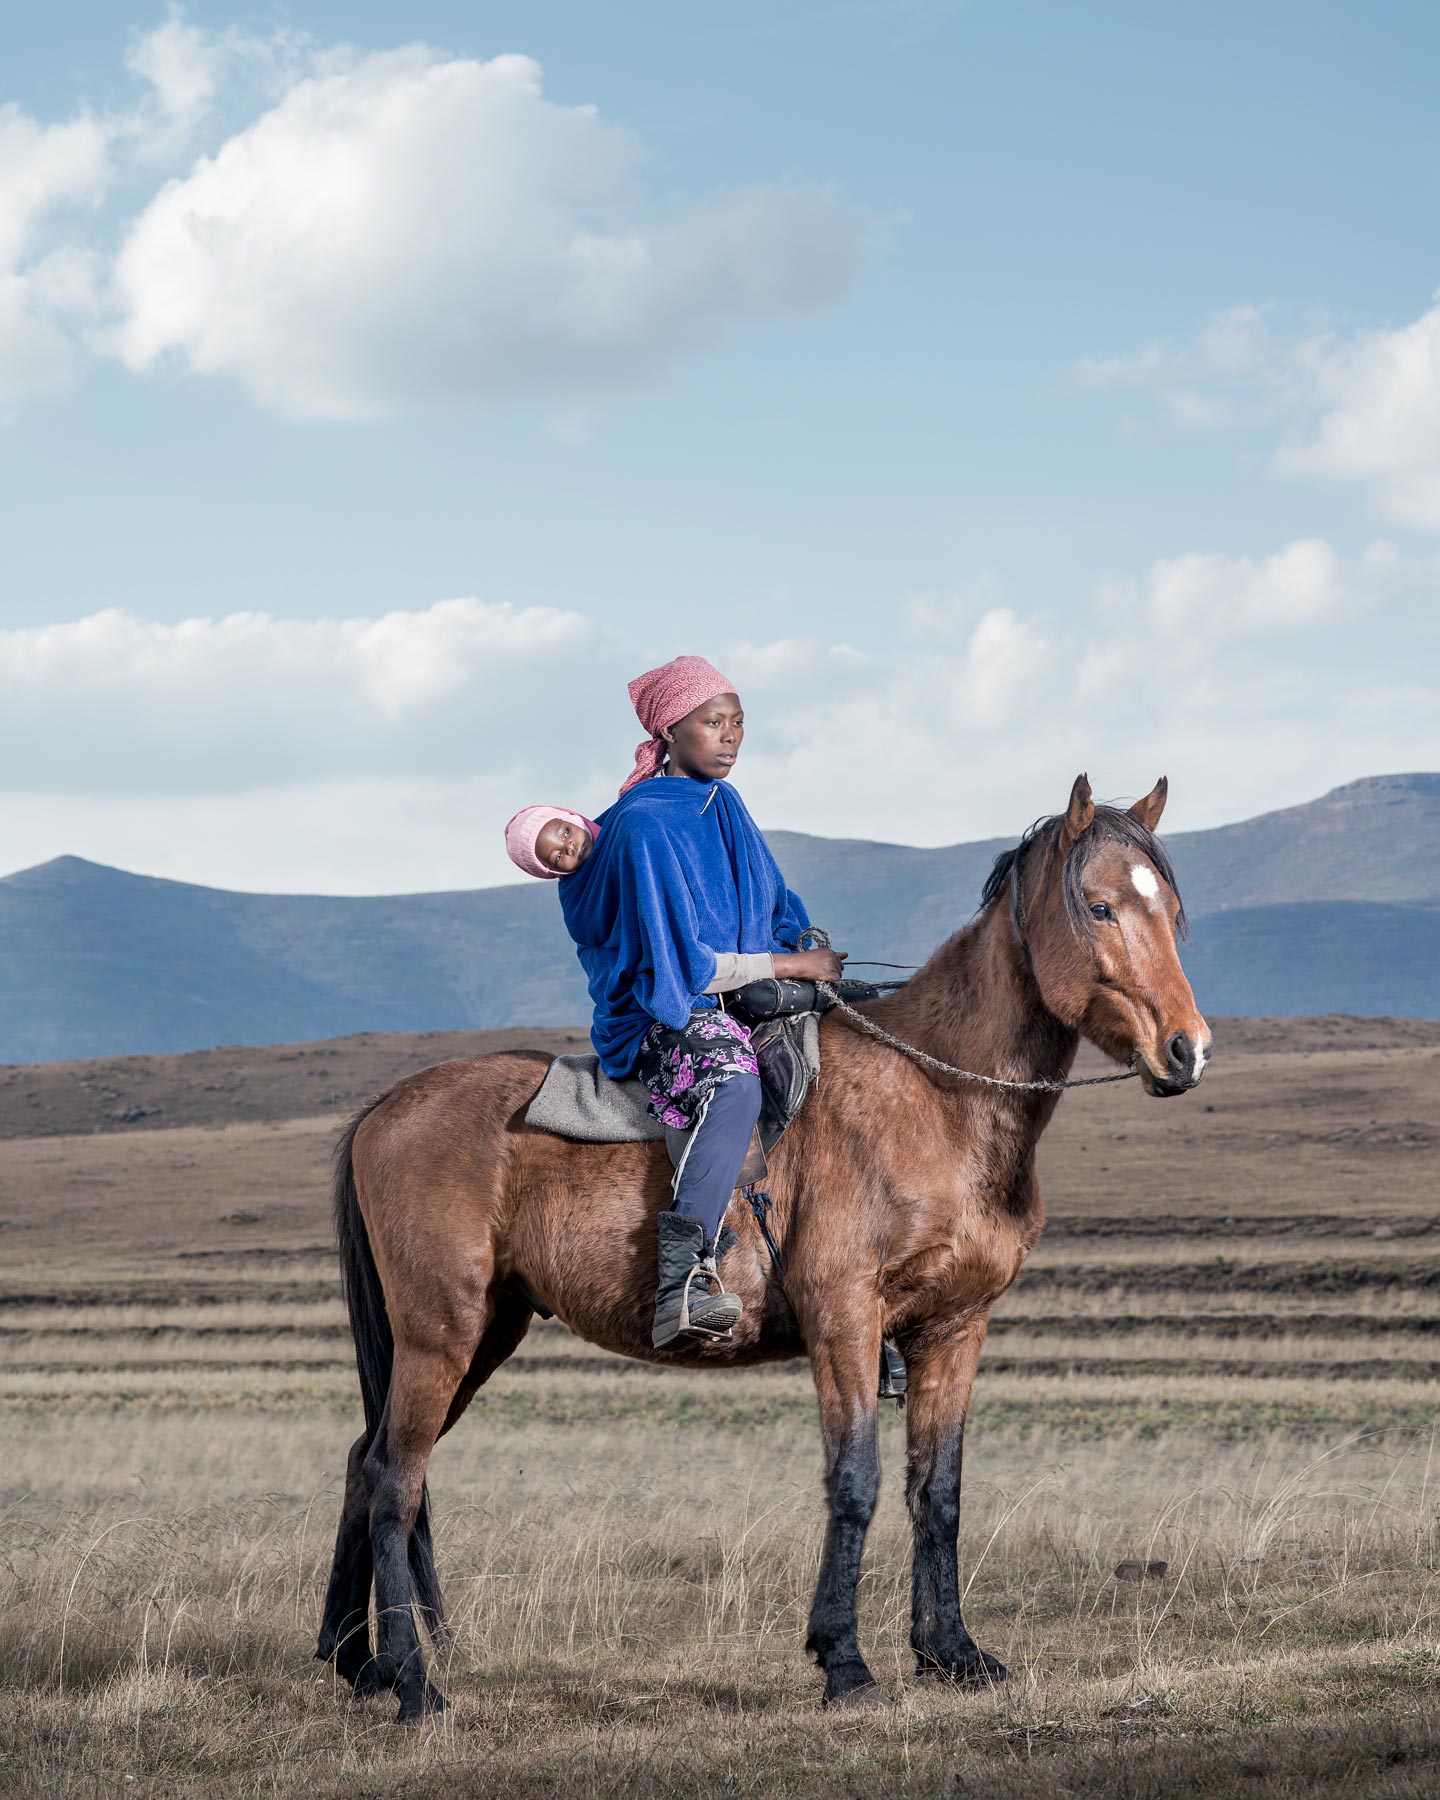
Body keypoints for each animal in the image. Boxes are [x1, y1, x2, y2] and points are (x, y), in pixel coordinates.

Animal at [318, 770, 1216, 1713]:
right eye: (1100, 906)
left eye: (1169, 910)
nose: (1187, 1050)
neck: (937, 1098)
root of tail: (384, 1111)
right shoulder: (844, 1320)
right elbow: (854, 1482)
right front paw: (845, 1662)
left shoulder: (953, 1329)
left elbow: (938, 1492)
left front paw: (954, 1654)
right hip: (440, 1333)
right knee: (395, 1480)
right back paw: (412, 1682)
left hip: (488, 1329)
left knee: (366, 1462)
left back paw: (355, 1661)